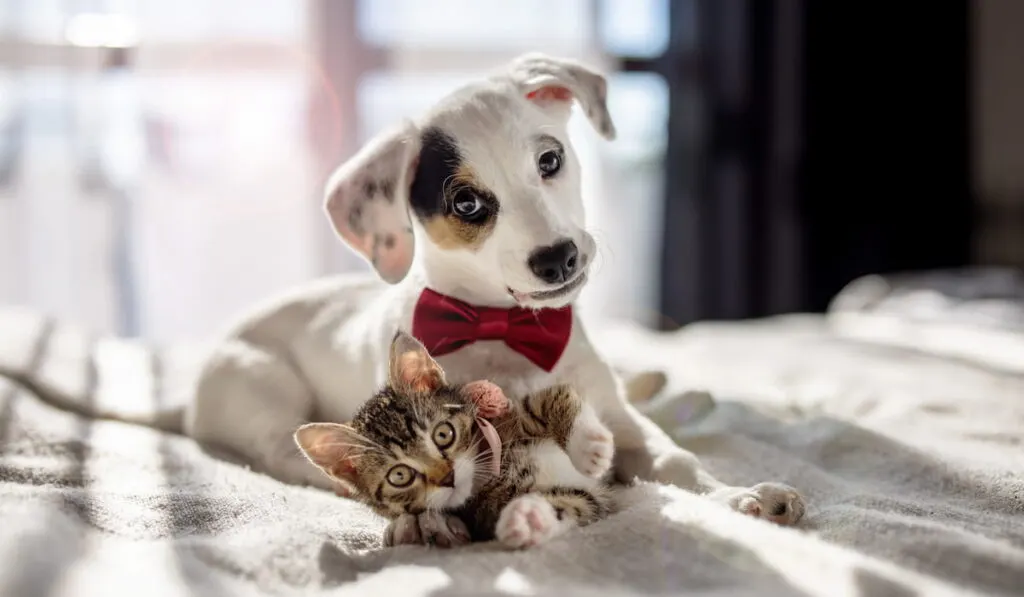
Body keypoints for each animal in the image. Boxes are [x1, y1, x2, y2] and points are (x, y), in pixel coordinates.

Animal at [296, 331, 614, 552]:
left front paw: (590, 447)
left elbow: (552, 396)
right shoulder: (585, 499)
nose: (447, 477)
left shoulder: (511, 414)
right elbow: (572, 504)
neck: (492, 471)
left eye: (443, 434)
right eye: (399, 476)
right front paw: (527, 519)